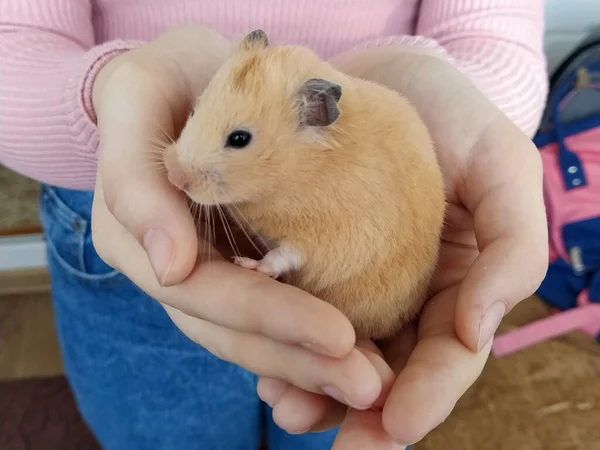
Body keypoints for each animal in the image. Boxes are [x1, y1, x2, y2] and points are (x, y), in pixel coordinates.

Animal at [163, 29, 446, 340]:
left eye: (239, 139)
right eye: (194, 109)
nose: (174, 177)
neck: (296, 174)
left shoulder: (331, 239)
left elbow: (283, 255)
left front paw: (247, 264)